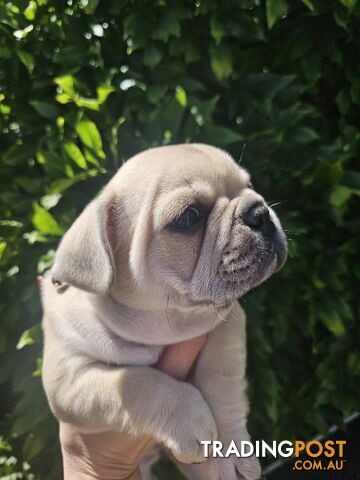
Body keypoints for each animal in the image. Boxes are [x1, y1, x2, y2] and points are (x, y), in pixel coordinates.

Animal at [40, 143, 286, 480]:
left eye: (249, 185)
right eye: (189, 217)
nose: (259, 212)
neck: (160, 328)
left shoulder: (227, 324)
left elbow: (221, 381)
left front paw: (230, 447)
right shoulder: (68, 382)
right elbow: (134, 383)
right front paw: (189, 417)